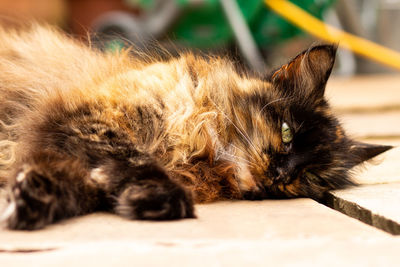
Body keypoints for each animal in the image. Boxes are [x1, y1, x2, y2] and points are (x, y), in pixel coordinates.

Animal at [0, 24, 392, 230]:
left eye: (310, 176)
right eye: (286, 133)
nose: (282, 174)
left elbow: (73, 181)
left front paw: (28, 200)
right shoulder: (90, 120)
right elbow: (134, 159)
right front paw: (163, 198)